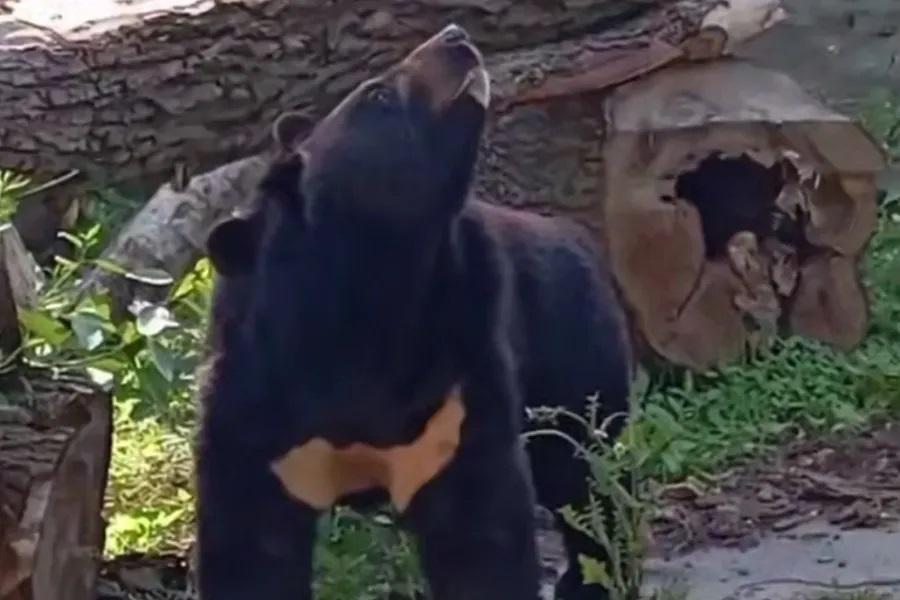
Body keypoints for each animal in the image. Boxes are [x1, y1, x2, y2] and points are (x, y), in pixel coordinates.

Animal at [195, 23, 632, 600]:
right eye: (379, 94)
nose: (456, 37)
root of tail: (577, 234)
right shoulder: (255, 407)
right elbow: (250, 550)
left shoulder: (455, 387)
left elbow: (480, 537)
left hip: (575, 357)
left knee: (586, 475)